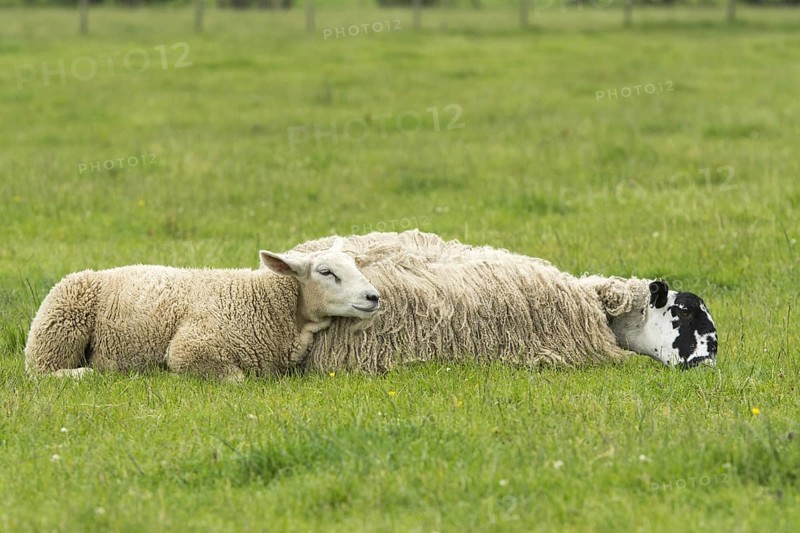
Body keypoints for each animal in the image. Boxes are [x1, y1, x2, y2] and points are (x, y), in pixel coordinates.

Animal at [24, 239, 381, 381]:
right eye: (326, 272)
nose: (374, 296)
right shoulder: (190, 348)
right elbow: (237, 379)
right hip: (58, 329)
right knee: (41, 372)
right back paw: (84, 373)